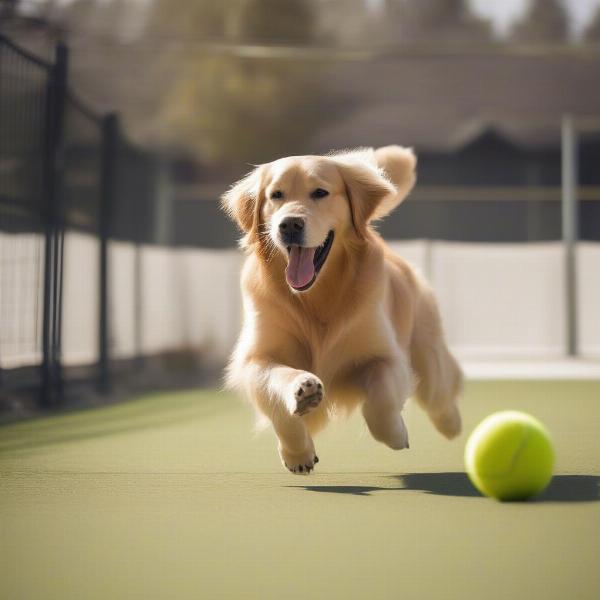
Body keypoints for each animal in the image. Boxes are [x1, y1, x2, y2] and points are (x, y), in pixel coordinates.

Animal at [223, 146, 462, 474]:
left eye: (320, 192)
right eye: (276, 195)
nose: (289, 225)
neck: (317, 296)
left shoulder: (385, 356)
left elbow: (380, 400)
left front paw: (396, 433)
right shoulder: (255, 358)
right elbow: (278, 394)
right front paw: (299, 441)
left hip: (427, 352)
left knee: (441, 390)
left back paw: (452, 424)